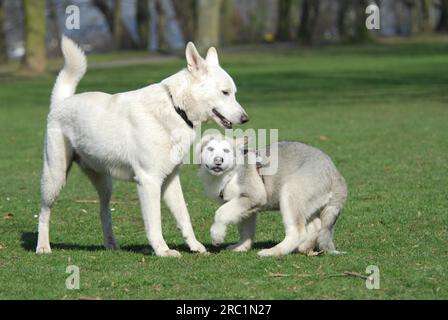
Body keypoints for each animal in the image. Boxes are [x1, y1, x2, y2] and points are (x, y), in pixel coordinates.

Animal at [36, 37, 248, 258]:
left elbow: (184, 216)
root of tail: (61, 102)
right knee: (43, 212)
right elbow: (154, 223)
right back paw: (43, 247)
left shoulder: (171, 180)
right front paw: (162, 250)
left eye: (233, 93)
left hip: (105, 184)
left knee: (103, 211)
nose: (245, 118)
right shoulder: (149, 181)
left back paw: (111, 244)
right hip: (55, 177)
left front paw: (195, 246)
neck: (176, 108)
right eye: (225, 93)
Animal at [198, 134, 348, 256]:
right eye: (210, 149)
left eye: (226, 150)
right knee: (315, 225)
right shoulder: (246, 207)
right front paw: (241, 247)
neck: (230, 173)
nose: (218, 160)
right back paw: (303, 248)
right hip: (308, 203)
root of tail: (334, 172)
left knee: (298, 231)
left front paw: (217, 235)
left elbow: (221, 212)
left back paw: (273, 251)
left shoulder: (253, 196)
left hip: (291, 192)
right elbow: (246, 229)